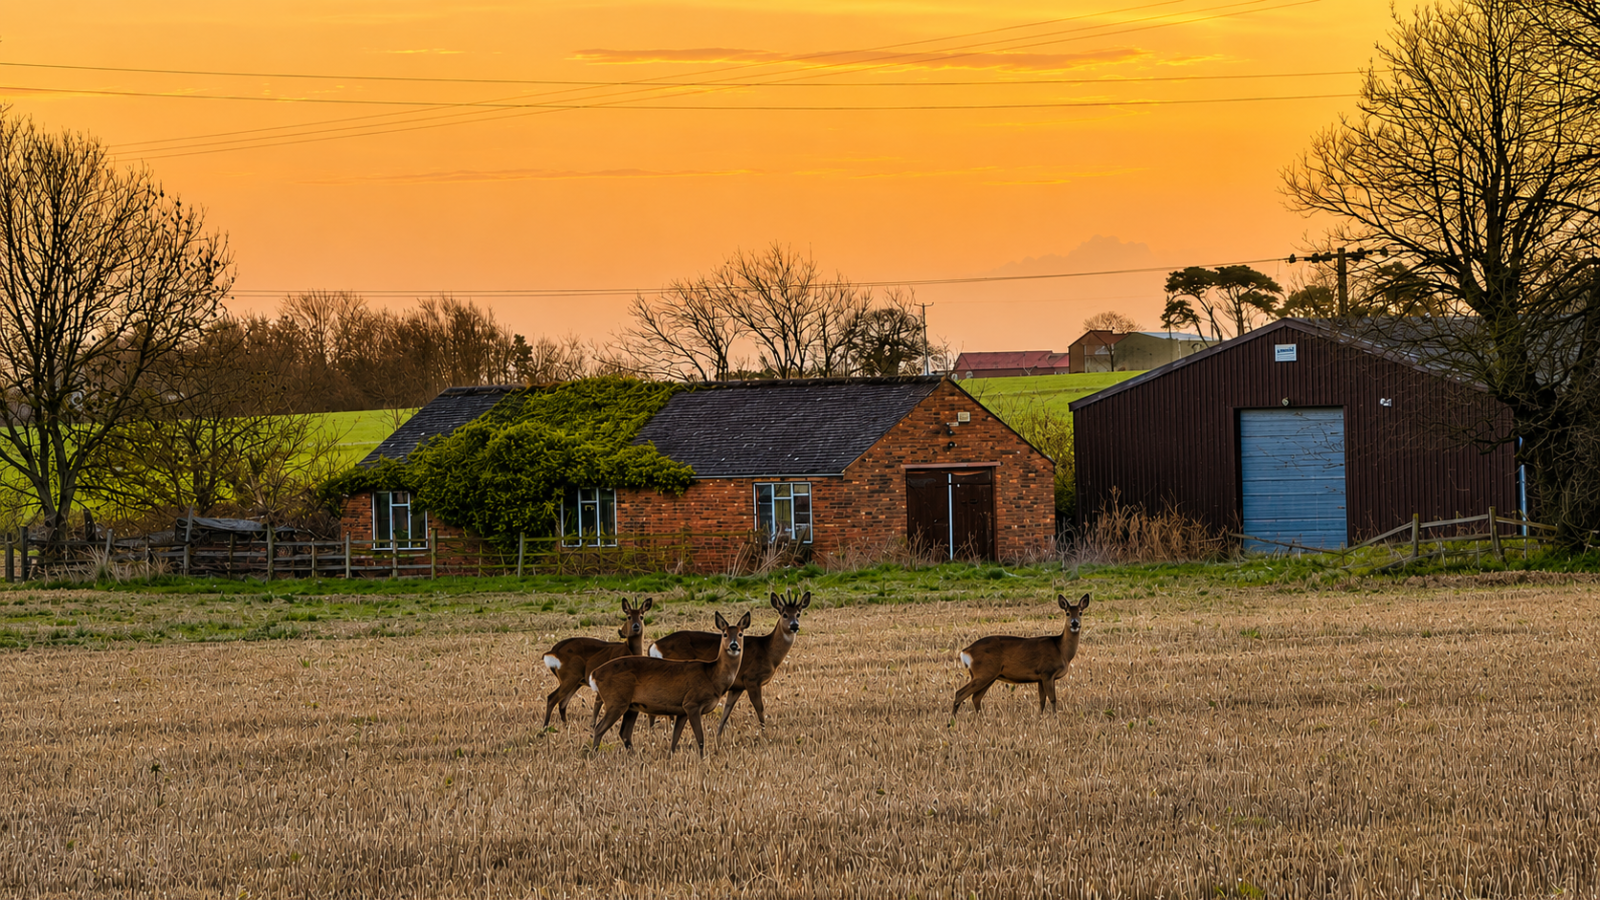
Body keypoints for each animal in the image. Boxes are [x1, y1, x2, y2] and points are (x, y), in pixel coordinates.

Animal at [541, 597, 653, 728]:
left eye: (641, 616)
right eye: (628, 616)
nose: (636, 626)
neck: (629, 651)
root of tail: (554, 651)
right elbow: (599, 703)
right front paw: (593, 725)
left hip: (575, 681)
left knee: (562, 703)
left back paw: (566, 725)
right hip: (570, 676)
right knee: (552, 698)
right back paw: (545, 727)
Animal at [588, 610, 751, 755]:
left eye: (740, 634)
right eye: (725, 634)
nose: (734, 646)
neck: (712, 675)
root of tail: (594, 674)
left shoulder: (682, 709)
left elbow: (675, 738)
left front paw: (670, 757)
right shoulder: (692, 703)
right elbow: (700, 738)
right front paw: (702, 759)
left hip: (631, 706)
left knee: (625, 733)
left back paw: (633, 756)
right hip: (616, 701)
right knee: (599, 728)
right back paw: (594, 755)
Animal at [647, 590, 809, 736]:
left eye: (798, 614)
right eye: (784, 614)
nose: (794, 626)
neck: (767, 651)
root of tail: (654, 646)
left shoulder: (737, 686)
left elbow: (727, 710)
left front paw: (718, 736)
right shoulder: (751, 679)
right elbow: (760, 708)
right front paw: (765, 733)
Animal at [952, 593, 1089, 716]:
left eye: (1080, 613)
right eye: (1067, 613)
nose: (1074, 623)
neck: (1061, 650)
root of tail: (966, 651)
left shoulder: (1040, 677)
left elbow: (1042, 701)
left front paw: (1040, 717)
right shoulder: (1047, 672)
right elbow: (1053, 699)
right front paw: (1055, 718)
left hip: (989, 675)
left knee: (975, 698)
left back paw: (981, 720)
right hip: (984, 672)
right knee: (960, 693)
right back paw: (952, 722)